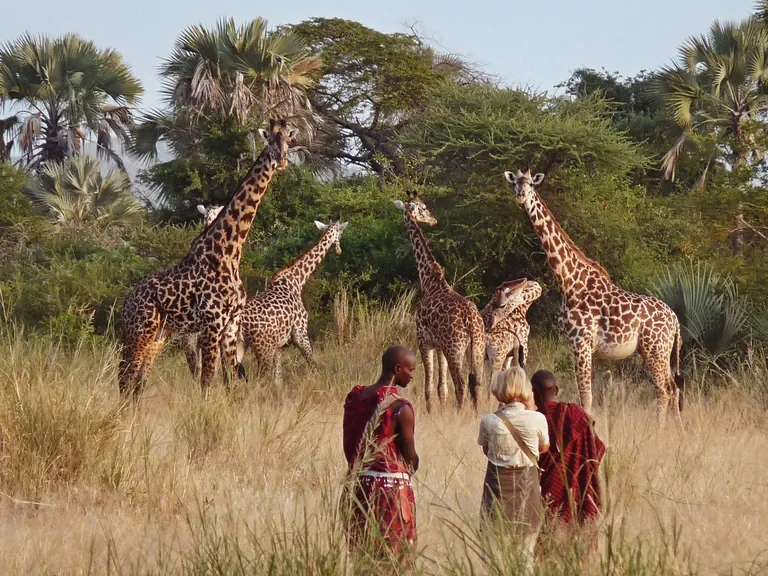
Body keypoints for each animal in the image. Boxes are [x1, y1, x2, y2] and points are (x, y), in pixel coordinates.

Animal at [118, 119, 298, 396]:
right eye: (269, 140)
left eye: (289, 138)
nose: (281, 161)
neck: (230, 252)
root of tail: (126, 303)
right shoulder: (212, 324)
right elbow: (208, 381)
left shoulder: (231, 326)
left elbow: (230, 383)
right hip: (140, 332)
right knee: (125, 379)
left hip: (158, 336)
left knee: (138, 381)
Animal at [238, 220, 349, 390]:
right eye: (341, 234)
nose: (339, 251)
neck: (297, 280)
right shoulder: (300, 334)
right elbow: (314, 366)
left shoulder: (280, 346)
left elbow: (278, 381)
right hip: (263, 348)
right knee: (258, 380)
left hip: (238, 345)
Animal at [394, 193, 486, 412]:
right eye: (424, 208)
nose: (433, 220)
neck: (429, 279)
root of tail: (471, 321)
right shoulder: (439, 346)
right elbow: (442, 388)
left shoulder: (423, 340)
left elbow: (429, 387)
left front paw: (431, 412)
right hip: (477, 348)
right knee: (477, 384)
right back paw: (476, 414)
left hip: (455, 349)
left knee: (461, 384)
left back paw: (460, 414)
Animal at [503, 169, 684, 423]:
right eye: (514, 184)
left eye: (530, 184)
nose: (521, 196)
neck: (569, 281)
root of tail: (675, 321)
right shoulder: (580, 344)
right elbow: (586, 394)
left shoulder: (581, 341)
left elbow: (585, 396)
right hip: (661, 351)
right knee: (674, 387)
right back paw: (677, 428)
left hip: (655, 349)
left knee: (664, 389)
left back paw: (659, 428)